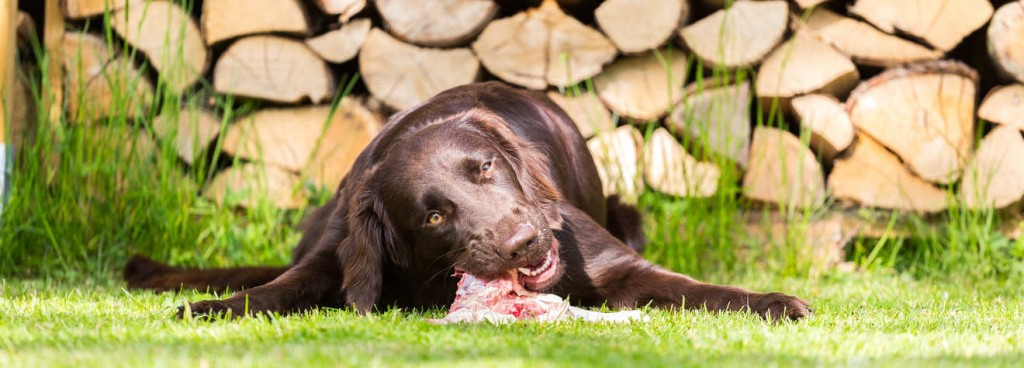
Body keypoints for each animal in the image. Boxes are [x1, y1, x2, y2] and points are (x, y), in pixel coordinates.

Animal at [128, 82, 811, 321]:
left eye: (484, 168)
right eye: (434, 215)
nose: (524, 243)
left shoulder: (615, 264)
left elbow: (700, 289)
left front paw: (774, 301)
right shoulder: (338, 255)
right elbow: (280, 288)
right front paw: (211, 308)